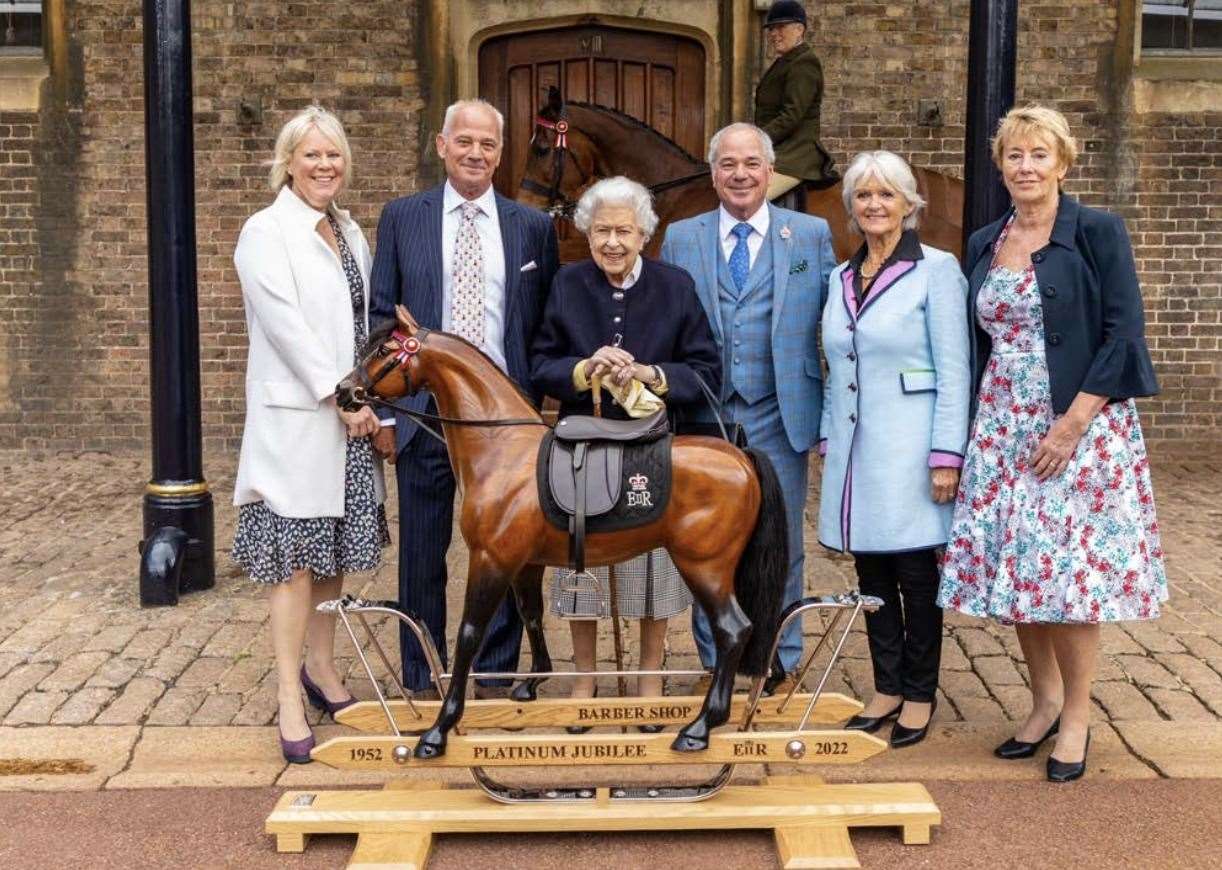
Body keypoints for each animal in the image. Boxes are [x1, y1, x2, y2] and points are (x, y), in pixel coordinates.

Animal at [337, 309, 791, 757]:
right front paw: (532, 683)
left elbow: (469, 634)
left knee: (733, 630)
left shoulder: (491, 561)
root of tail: (742, 457)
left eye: (383, 350)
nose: (343, 392)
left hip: (704, 568)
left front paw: (440, 729)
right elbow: (532, 615)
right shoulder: (524, 563)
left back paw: (701, 726)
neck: (503, 447)